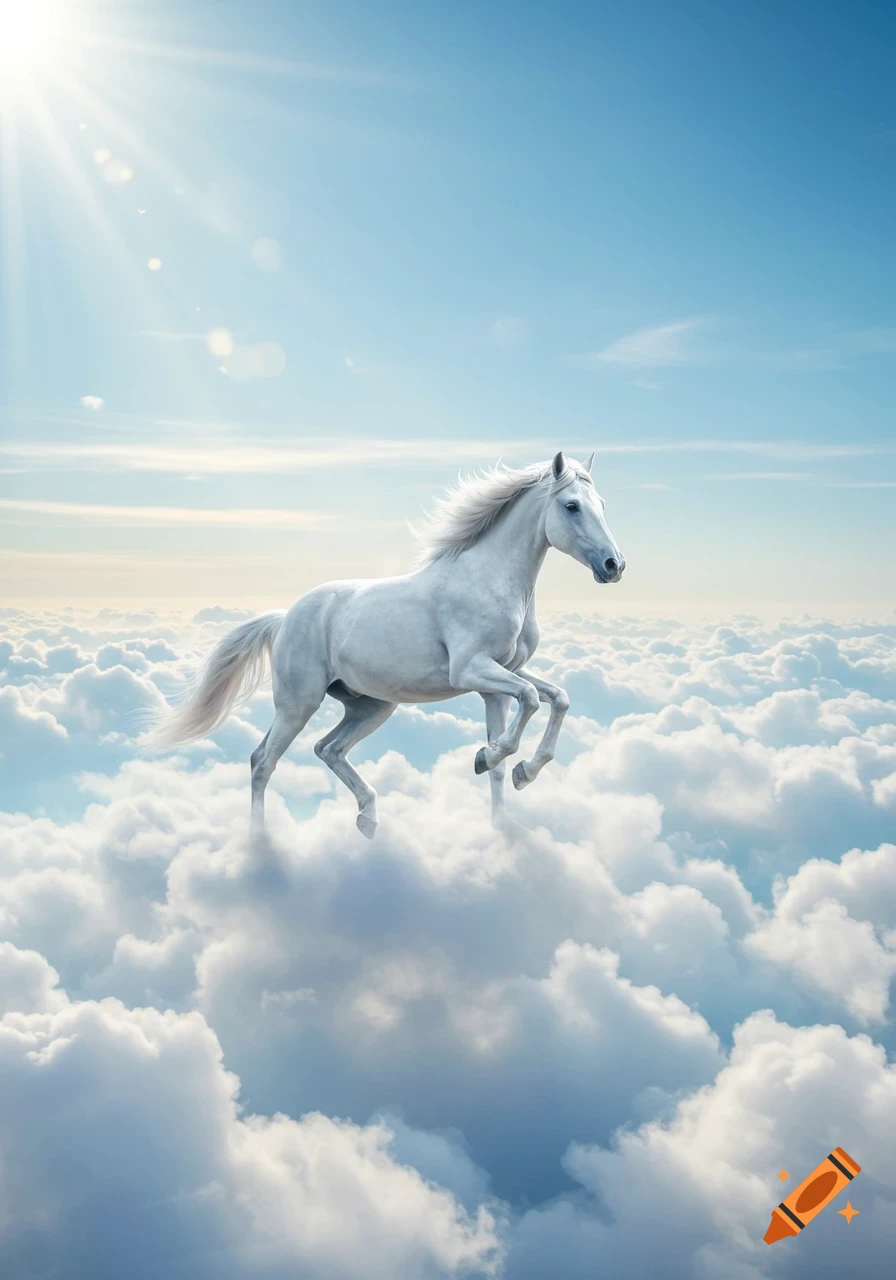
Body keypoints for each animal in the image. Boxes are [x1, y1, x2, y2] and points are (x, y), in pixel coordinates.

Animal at [143, 450, 625, 839]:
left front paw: (512, 793)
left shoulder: (500, 676)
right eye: (571, 505)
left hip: (371, 705)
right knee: (263, 761)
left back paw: (368, 819)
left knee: (328, 749)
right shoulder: (471, 670)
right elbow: (528, 704)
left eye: (603, 505)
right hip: (299, 703)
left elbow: (554, 700)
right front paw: (487, 757)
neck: (491, 579)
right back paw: (260, 843)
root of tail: (285, 619)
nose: (614, 565)